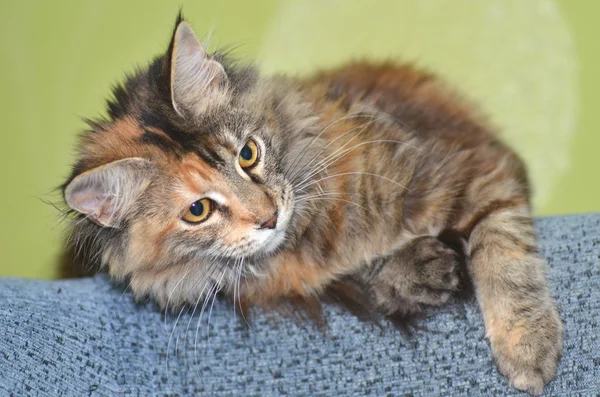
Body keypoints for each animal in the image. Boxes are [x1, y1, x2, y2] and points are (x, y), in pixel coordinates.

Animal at [63, 14, 564, 392]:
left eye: (248, 154)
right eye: (198, 211)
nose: (269, 217)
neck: (313, 232)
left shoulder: (474, 169)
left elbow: (505, 258)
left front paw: (527, 349)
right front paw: (417, 272)